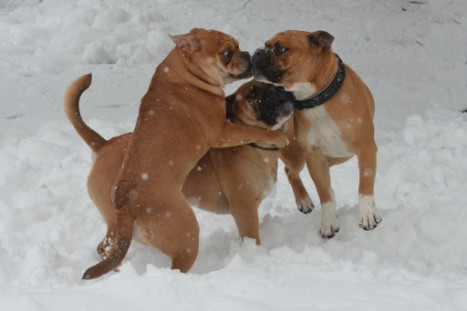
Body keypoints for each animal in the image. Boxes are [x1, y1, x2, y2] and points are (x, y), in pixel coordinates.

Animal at [66, 28, 288, 280]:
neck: (185, 73)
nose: (248, 54)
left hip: (117, 226)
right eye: (226, 52)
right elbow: (254, 130)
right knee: (176, 265)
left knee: (106, 248)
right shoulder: (224, 133)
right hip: (186, 231)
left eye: (237, 46)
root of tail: (102, 144)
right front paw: (277, 136)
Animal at [254, 30, 382, 238]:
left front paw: (368, 214)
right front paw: (329, 223)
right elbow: (324, 193)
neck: (316, 98)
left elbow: (365, 183)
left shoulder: (366, 148)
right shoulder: (314, 156)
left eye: (280, 49)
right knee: (290, 171)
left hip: (339, 155)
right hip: (297, 155)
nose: (257, 52)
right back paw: (303, 200)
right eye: (265, 45)